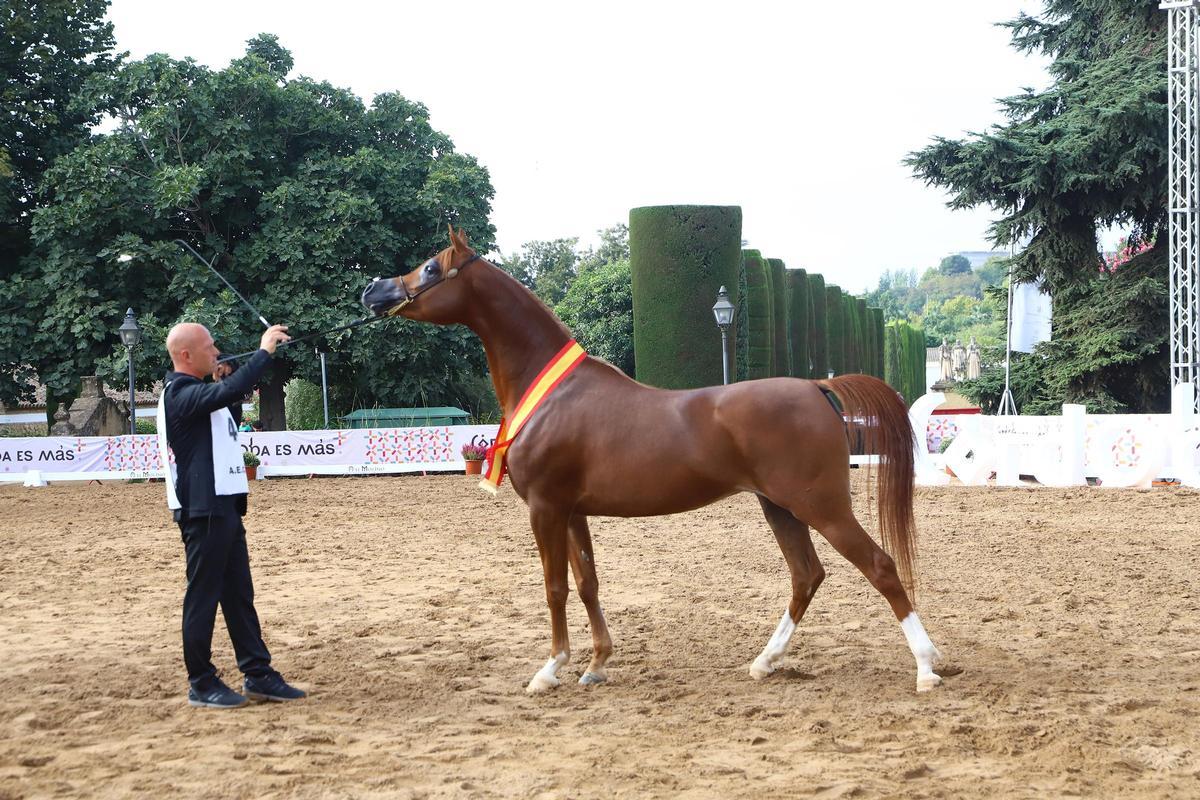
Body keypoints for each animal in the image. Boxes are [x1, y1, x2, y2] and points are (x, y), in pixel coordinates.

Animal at [360, 226, 943, 694]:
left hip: (821, 506)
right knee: (807, 576)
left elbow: (554, 588)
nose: (373, 290)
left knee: (880, 567)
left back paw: (925, 667)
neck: (553, 394)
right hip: (780, 507)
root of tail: (817, 387)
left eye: (431, 267)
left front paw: (550, 670)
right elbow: (587, 583)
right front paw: (596, 665)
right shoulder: (573, 511)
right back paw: (765, 661)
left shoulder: (545, 508)